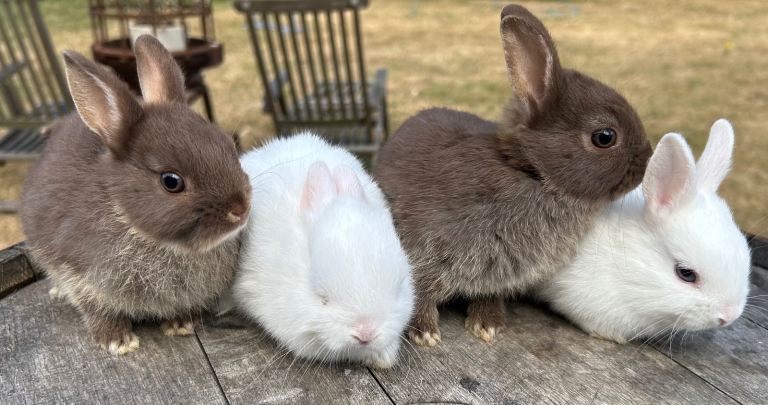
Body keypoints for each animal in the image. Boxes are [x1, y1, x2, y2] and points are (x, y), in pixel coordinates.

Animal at [20, 35, 251, 355]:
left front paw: (181, 324)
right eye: (171, 182)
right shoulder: (81, 276)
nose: (241, 208)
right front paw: (118, 341)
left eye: (229, 145)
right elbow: (95, 309)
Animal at [373, 4, 652, 346]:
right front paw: (424, 332)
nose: (647, 161)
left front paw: (487, 324)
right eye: (604, 137)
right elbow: (420, 293)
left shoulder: (498, 275)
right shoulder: (422, 249)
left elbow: (489, 294)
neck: (532, 172)